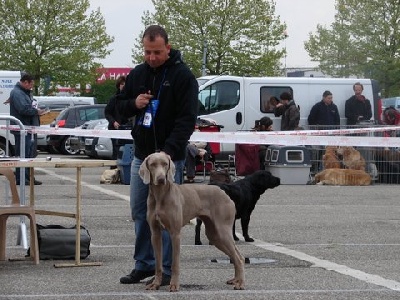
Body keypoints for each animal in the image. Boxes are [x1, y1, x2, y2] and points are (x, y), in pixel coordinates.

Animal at [139, 152, 245, 290]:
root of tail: (224, 193)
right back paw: (235, 280)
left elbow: (175, 263)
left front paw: (174, 285)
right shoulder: (155, 234)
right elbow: (157, 263)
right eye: (152, 164)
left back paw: (240, 283)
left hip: (222, 231)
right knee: (235, 255)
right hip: (214, 235)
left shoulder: (175, 234)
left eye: (165, 164)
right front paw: (156, 284)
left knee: (239, 258)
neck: (160, 196)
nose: (161, 179)